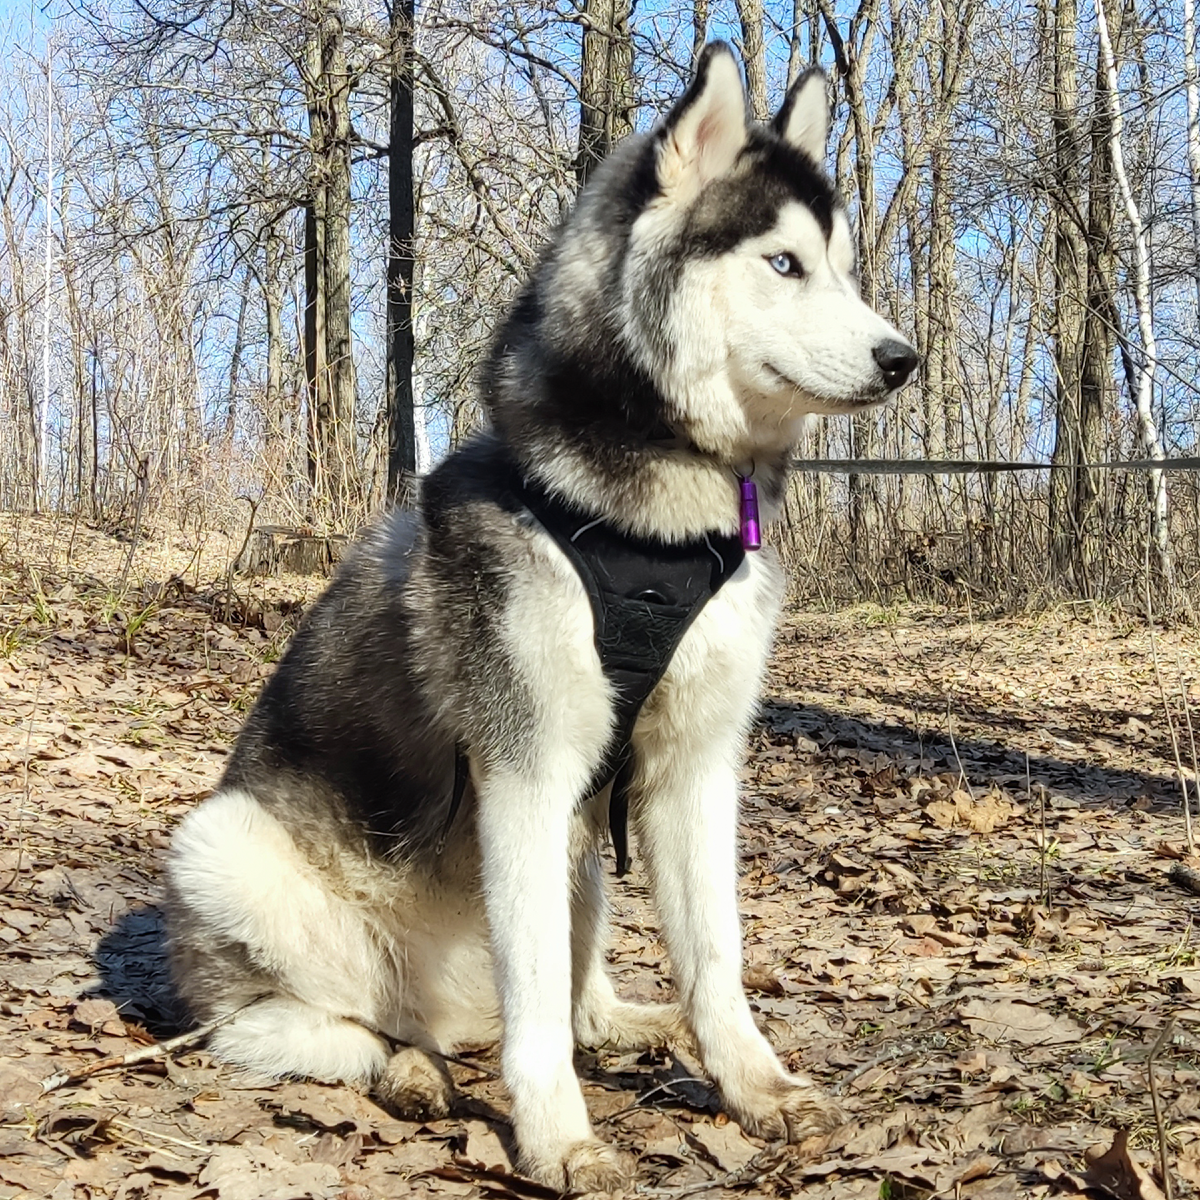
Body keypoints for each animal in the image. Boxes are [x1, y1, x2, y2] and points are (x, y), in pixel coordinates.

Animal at [166, 42, 916, 1195]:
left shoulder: (692, 768)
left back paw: (617, 1022)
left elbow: (715, 956)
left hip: (580, 853)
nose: (900, 358)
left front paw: (753, 1085)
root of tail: (440, 1011)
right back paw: (406, 1068)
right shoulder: (522, 770)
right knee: (299, 1026)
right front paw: (559, 1138)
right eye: (783, 264)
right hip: (223, 848)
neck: (653, 529)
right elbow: (534, 1012)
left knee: (568, 988)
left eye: (842, 267)